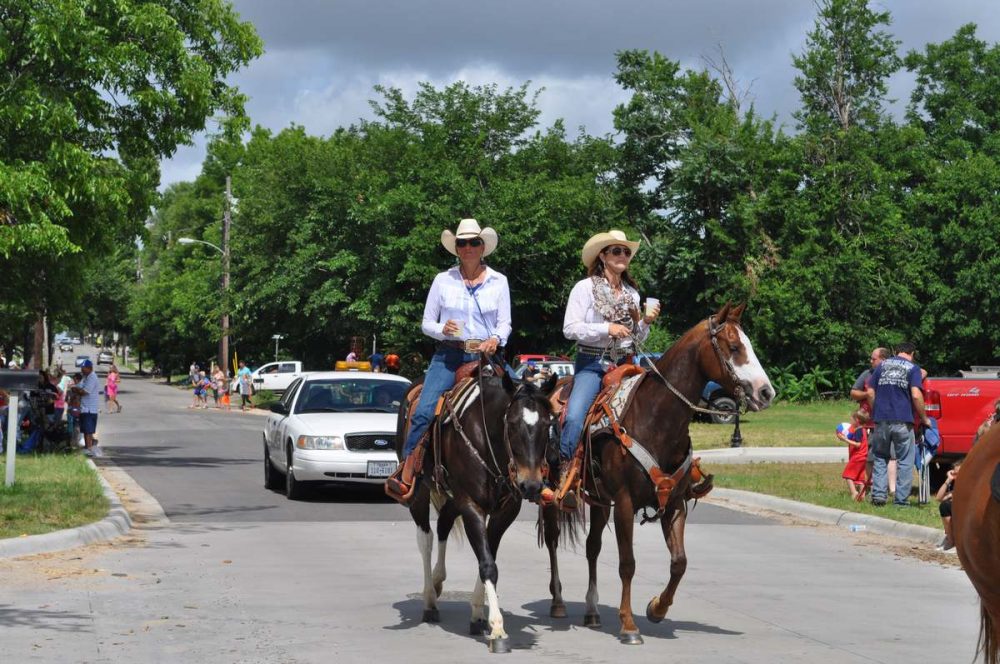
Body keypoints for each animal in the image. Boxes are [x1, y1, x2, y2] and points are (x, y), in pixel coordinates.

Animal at [394, 374, 560, 652]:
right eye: (512, 424)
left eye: (547, 424)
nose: (531, 485)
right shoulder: (472, 506)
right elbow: (488, 565)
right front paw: (497, 628)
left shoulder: (505, 510)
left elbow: (489, 554)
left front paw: (477, 614)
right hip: (420, 492)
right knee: (426, 540)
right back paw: (429, 600)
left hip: (453, 497)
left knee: (443, 524)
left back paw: (438, 581)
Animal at [552, 302, 776, 644]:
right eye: (734, 347)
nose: (766, 392)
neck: (655, 416)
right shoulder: (625, 503)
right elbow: (627, 564)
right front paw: (629, 625)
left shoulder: (674, 503)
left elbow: (679, 562)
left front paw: (657, 608)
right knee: (552, 540)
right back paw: (558, 603)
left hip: (599, 500)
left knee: (592, 547)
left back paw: (591, 611)